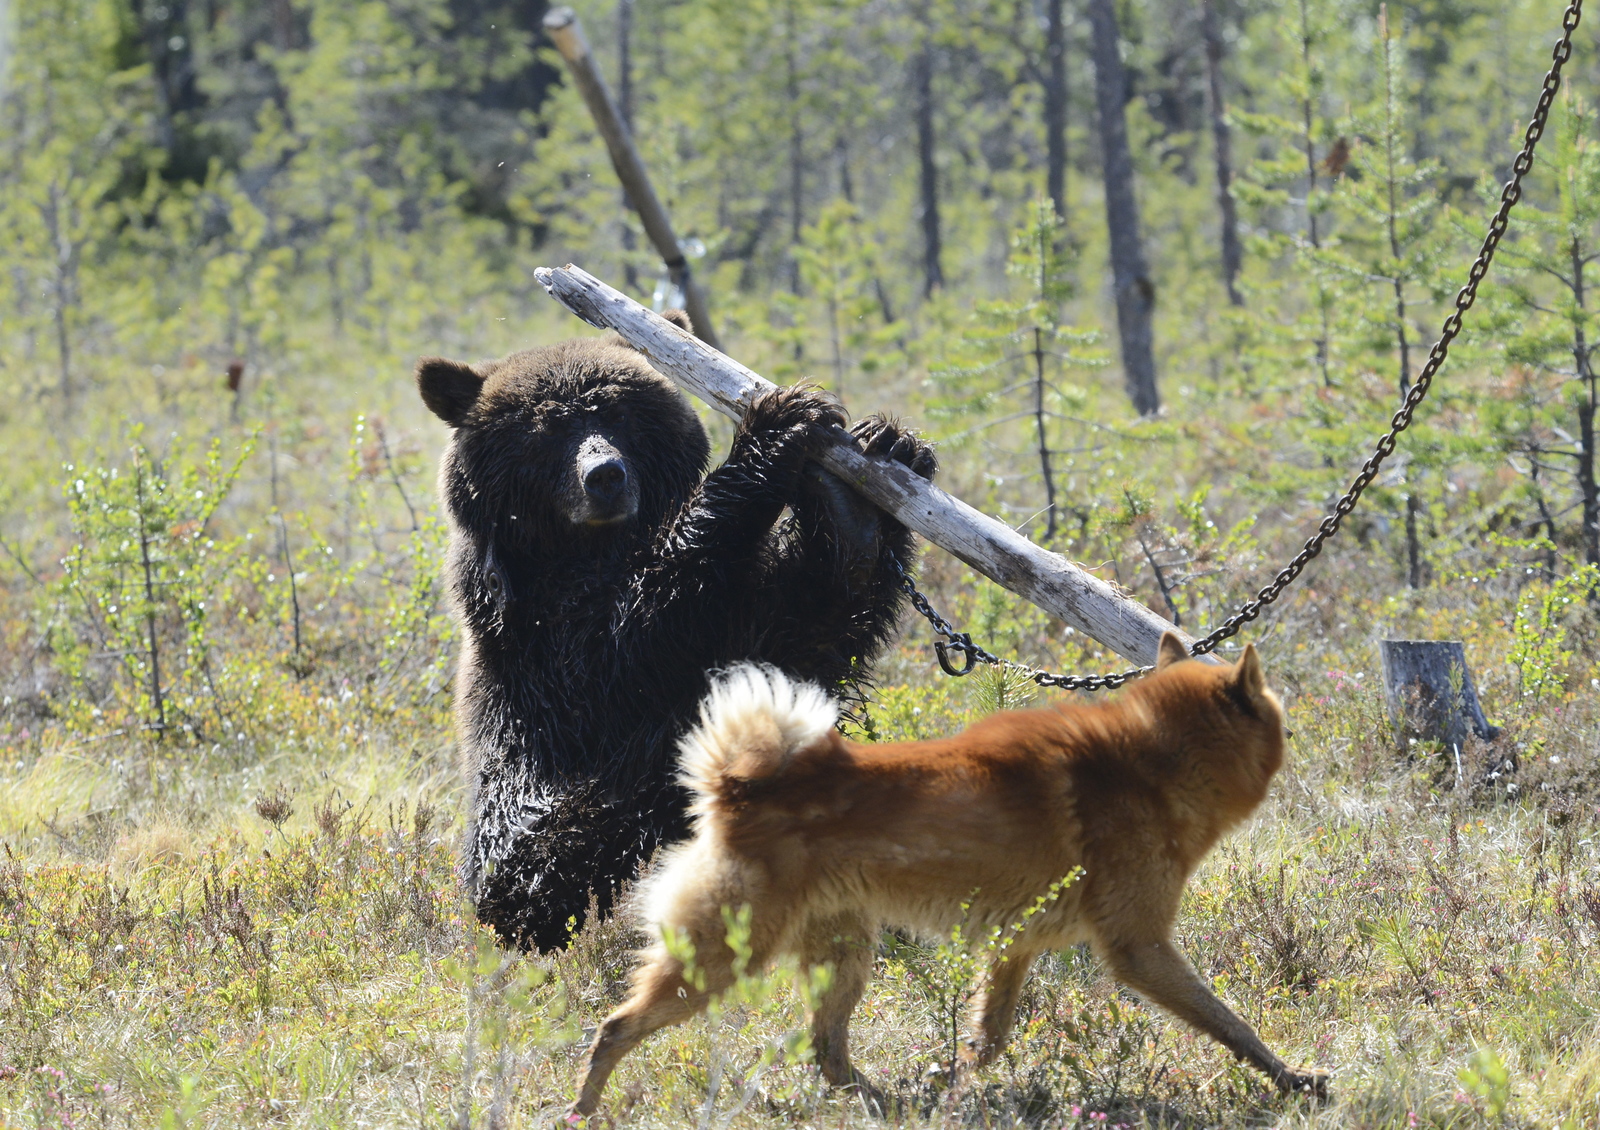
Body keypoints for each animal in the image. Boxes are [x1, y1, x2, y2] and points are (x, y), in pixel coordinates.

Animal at [416, 316, 934, 947]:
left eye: (618, 413)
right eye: (548, 426)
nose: (605, 476)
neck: (591, 549)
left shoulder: (745, 623)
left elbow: (806, 623)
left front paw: (875, 468)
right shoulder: (545, 644)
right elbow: (634, 630)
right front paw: (778, 424)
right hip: (523, 818)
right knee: (567, 850)